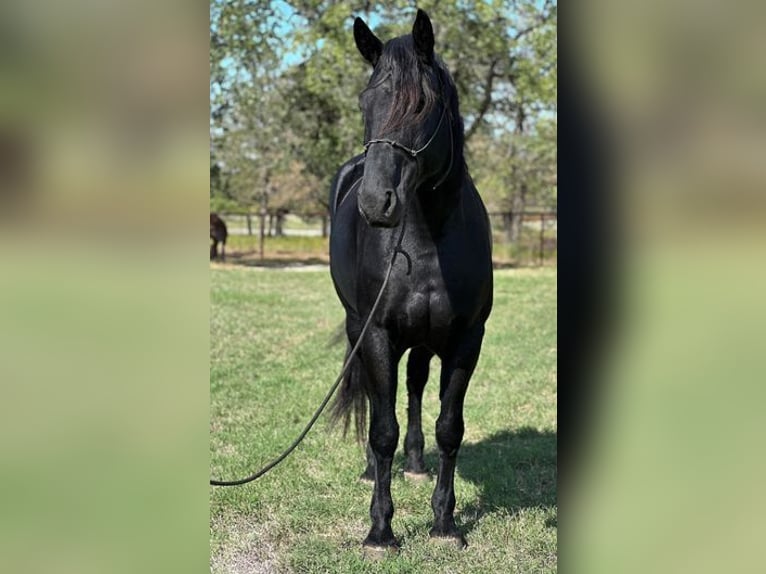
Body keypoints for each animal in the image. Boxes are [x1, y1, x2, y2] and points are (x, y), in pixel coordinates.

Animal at [328, 11, 496, 556]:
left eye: (422, 104)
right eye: (366, 102)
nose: (375, 202)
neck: (425, 240)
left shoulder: (466, 339)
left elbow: (449, 427)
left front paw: (444, 523)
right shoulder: (378, 333)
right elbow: (383, 429)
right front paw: (380, 531)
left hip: (425, 338)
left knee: (418, 385)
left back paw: (417, 465)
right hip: (359, 327)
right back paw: (369, 470)